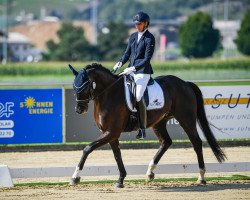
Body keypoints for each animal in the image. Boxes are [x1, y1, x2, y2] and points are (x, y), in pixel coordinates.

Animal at [68, 62, 227, 188]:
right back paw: (150, 173)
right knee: (166, 142)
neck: (109, 94)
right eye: (74, 87)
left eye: (85, 86)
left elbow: (87, 148)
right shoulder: (110, 134)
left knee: (196, 143)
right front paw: (121, 179)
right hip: (159, 122)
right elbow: (117, 155)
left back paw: (201, 177)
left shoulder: (112, 132)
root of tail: (184, 83)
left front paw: (75, 177)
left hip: (186, 119)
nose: (79, 109)